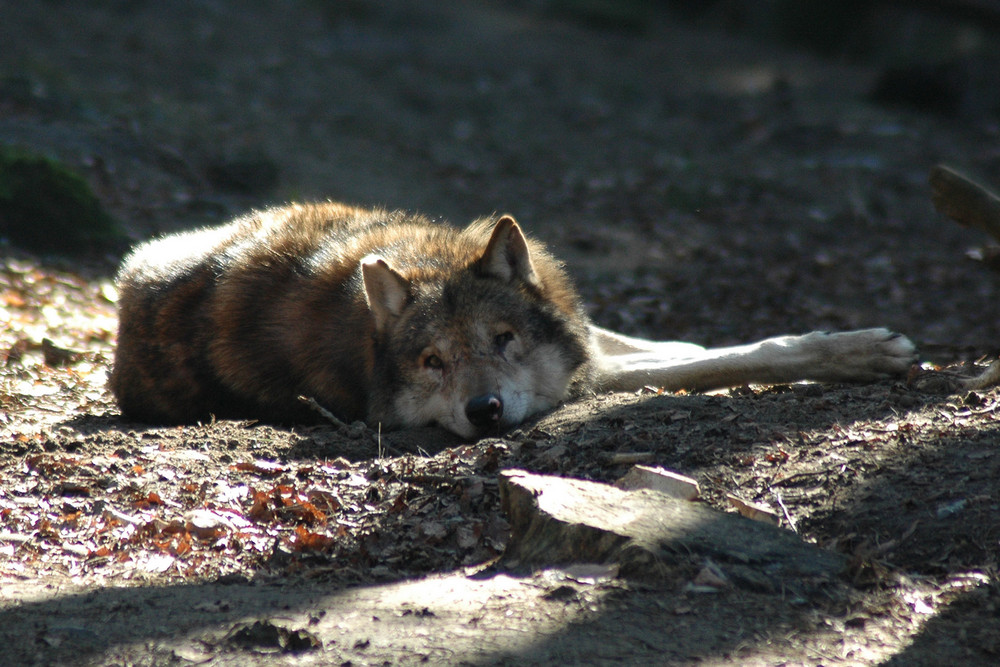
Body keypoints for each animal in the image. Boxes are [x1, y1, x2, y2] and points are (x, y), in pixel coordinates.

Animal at [113, 204, 916, 438]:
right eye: (433, 362)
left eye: (504, 341)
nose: (486, 410)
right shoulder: (586, 376)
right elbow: (731, 357)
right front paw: (860, 351)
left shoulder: (578, 336)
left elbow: (666, 343)